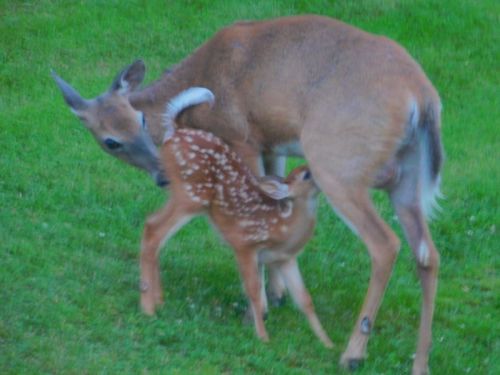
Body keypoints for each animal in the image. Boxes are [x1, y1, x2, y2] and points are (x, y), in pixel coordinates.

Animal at [52, 15, 444, 375]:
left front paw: (260, 308)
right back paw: (420, 362)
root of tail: (422, 97)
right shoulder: (272, 144)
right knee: (427, 253)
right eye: (111, 141)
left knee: (385, 244)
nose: (162, 175)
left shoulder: (243, 136)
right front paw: (279, 292)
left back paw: (353, 353)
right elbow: (276, 193)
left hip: (338, 162)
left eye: (140, 121)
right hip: (406, 177)